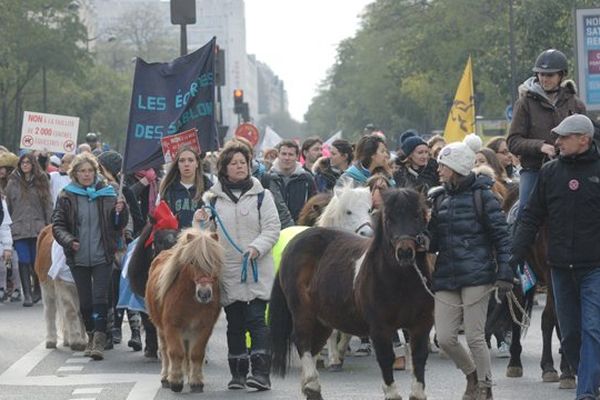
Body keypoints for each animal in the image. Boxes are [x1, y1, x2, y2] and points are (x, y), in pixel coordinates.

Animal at [146, 228, 225, 394]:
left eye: (214, 262)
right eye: (192, 262)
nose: (204, 294)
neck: (191, 301)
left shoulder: (204, 328)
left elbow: (196, 354)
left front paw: (196, 381)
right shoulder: (172, 327)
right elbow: (175, 352)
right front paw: (175, 381)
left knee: (187, 353)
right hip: (162, 329)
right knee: (165, 351)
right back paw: (165, 377)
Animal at [270, 188, 434, 400]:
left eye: (418, 215)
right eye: (388, 218)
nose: (405, 252)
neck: (402, 281)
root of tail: (294, 242)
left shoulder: (421, 324)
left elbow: (419, 357)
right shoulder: (380, 327)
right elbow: (386, 358)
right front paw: (391, 392)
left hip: (323, 318)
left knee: (314, 346)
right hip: (302, 312)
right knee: (303, 341)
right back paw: (312, 384)